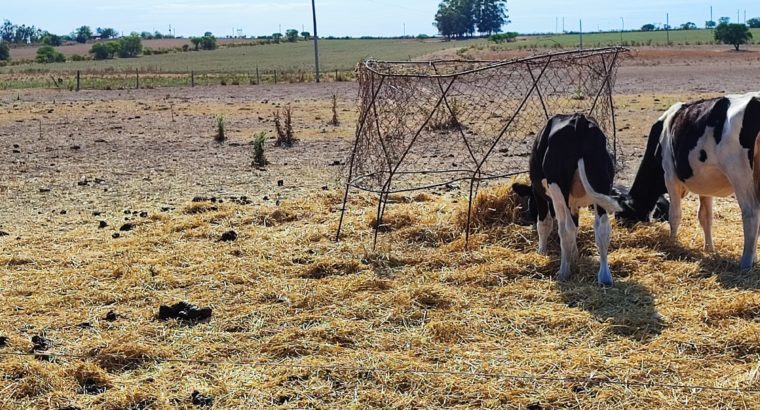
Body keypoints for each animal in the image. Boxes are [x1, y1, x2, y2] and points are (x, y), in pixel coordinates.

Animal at [512, 112, 620, 286]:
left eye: (530, 204)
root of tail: (578, 120)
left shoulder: (539, 194)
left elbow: (545, 224)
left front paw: (541, 251)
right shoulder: (573, 203)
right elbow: (576, 226)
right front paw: (575, 254)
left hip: (558, 188)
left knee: (565, 229)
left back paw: (563, 272)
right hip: (601, 185)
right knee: (602, 229)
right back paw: (604, 276)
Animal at [616, 91, 760, 268]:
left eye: (622, 215)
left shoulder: (670, 178)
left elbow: (675, 215)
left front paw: (672, 243)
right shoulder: (706, 185)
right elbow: (705, 217)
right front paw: (709, 249)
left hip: (739, 174)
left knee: (751, 213)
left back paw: (746, 262)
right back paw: (752, 257)